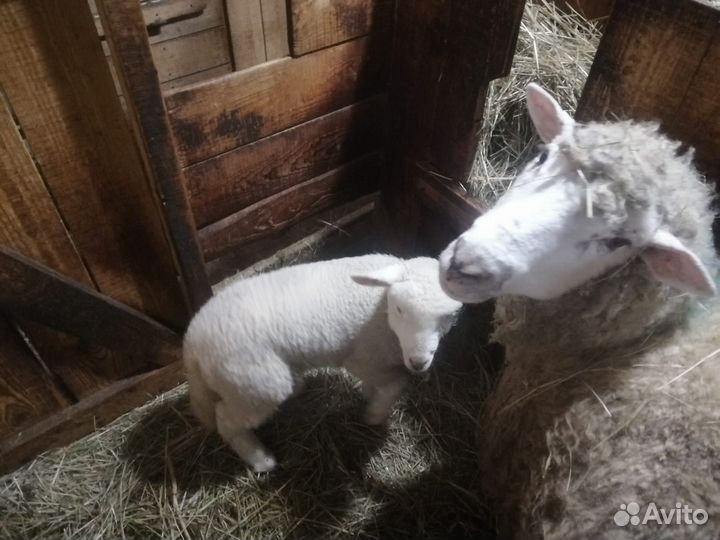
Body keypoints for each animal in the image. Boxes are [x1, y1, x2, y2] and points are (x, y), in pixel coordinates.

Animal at [183, 254, 461, 472]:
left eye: (450, 316)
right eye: (400, 309)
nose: (418, 361)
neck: (382, 308)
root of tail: (192, 341)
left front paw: (369, 396)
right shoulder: (363, 359)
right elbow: (396, 384)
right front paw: (374, 414)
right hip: (255, 384)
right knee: (226, 419)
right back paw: (261, 460)